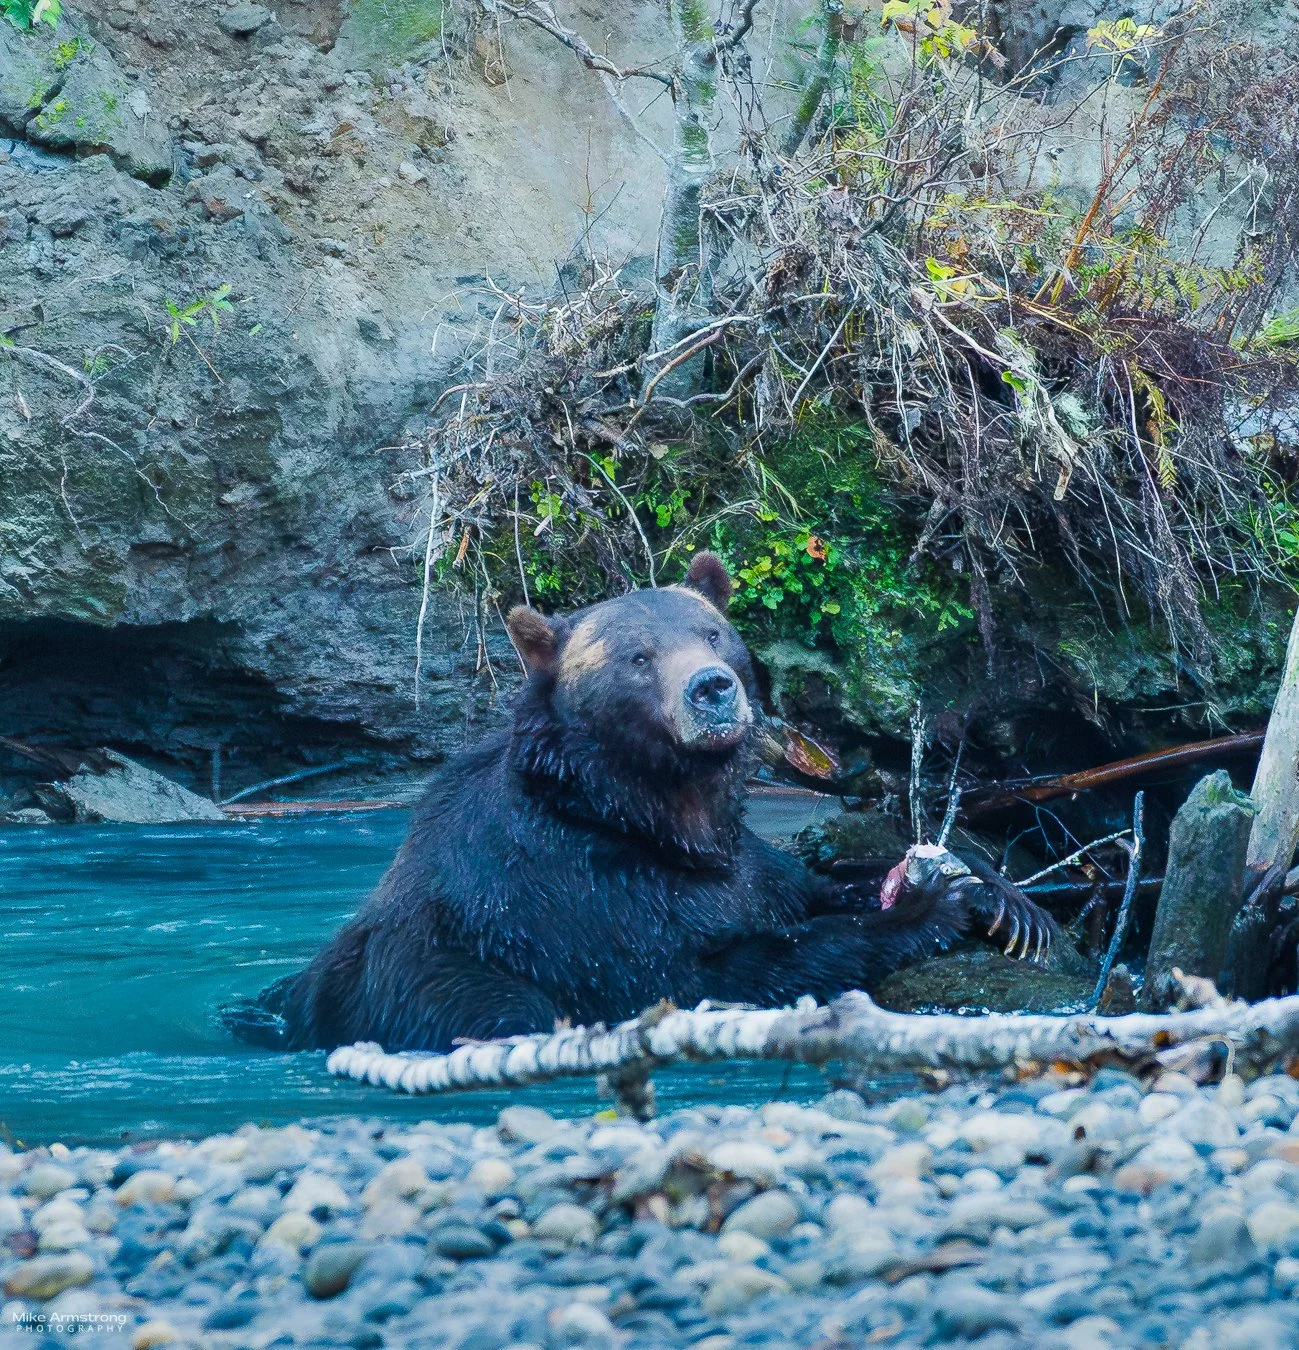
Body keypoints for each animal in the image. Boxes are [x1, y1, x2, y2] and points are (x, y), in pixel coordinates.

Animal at [227, 553, 1053, 1053]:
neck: (648, 812)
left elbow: (798, 886)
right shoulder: (570, 892)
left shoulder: (733, 867)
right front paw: (929, 909)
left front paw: (1007, 903)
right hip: (458, 990)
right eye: (637, 656)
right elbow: (702, 976)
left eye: (713, 632)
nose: (712, 688)